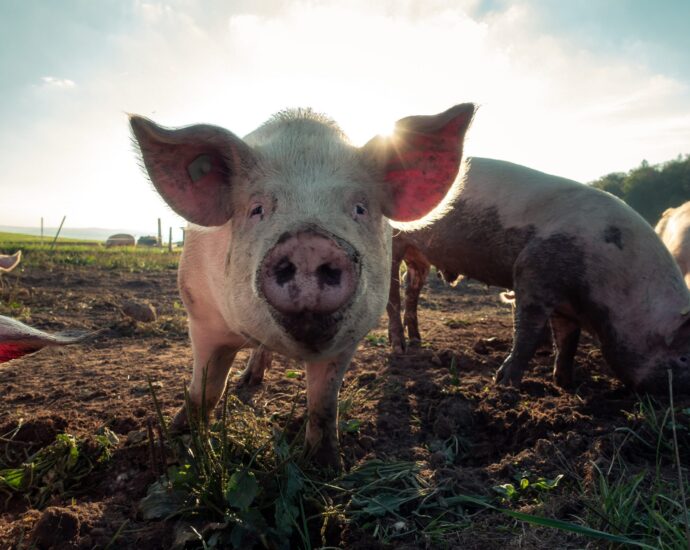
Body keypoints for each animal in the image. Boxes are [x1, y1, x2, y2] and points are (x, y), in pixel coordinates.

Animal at [130, 103, 476, 468]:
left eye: (359, 208)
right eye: (257, 209)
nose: (309, 244)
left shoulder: (349, 338)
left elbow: (323, 404)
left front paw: (326, 467)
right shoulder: (201, 314)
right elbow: (205, 390)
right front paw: (180, 441)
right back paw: (247, 381)